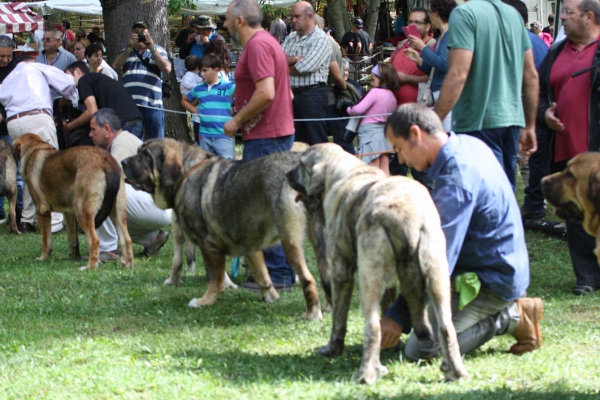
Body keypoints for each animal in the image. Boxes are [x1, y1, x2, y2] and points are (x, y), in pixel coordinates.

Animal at [13, 133, 134, 270]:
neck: (35, 149)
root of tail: (106, 160)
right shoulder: (69, 213)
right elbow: (72, 240)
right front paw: (72, 257)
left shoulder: (42, 211)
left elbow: (46, 240)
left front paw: (43, 257)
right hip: (117, 212)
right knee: (127, 239)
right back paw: (128, 265)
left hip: (82, 211)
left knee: (94, 240)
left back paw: (90, 267)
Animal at [120, 139, 328, 320]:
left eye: (146, 155)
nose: (122, 162)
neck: (185, 173)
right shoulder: (249, 245)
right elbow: (262, 274)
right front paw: (270, 296)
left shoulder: (208, 244)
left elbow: (214, 278)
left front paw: (205, 301)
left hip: (290, 242)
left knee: (308, 279)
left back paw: (312, 314)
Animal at [286, 144, 468, 384]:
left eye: (301, 165)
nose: (286, 175)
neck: (344, 173)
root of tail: (406, 216)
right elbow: (388, 307)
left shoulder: (341, 272)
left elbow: (338, 319)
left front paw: (333, 348)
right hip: (437, 276)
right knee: (446, 326)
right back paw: (455, 372)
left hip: (368, 277)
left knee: (372, 326)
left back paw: (366, 374)